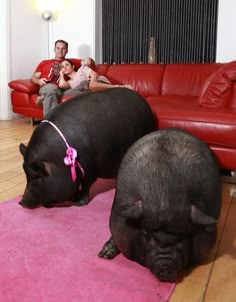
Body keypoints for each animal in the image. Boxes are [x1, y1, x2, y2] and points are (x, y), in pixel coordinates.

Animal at [18, 88, 155, 208]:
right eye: (25, 174)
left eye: (37, 176)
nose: (21, 202)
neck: (58, 160)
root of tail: (145, 102)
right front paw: (73, 199)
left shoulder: (90, 169)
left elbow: (85, 185)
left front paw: (79, 203)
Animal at [98, 128, 222, 284]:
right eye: (146, 235)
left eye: (183, 237)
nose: (165, 267)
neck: (164, 195)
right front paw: (103, 255)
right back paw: (103, 254)